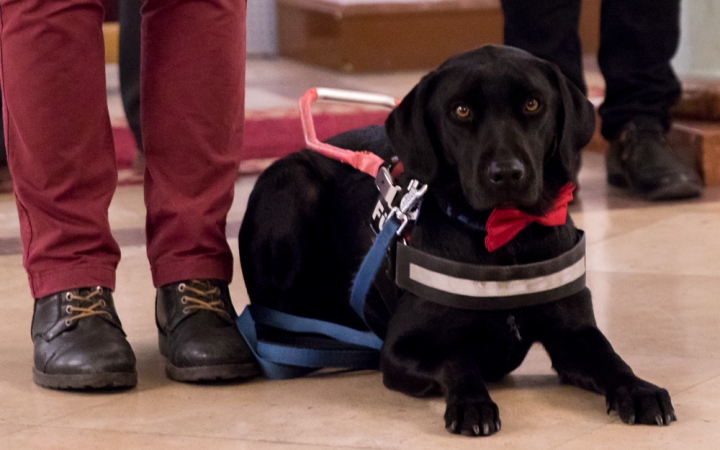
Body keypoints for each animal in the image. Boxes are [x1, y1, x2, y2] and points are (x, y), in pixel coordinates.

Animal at [240, 45, 676, 436]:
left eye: (533, 104)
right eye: (461, 111)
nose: (506, 173)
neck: (503, 237)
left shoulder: (574, 334)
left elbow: (612, 358)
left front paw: (640, 390)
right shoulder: (400, 349)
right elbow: (456, 358)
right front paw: (472, 404)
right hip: (292, 185)